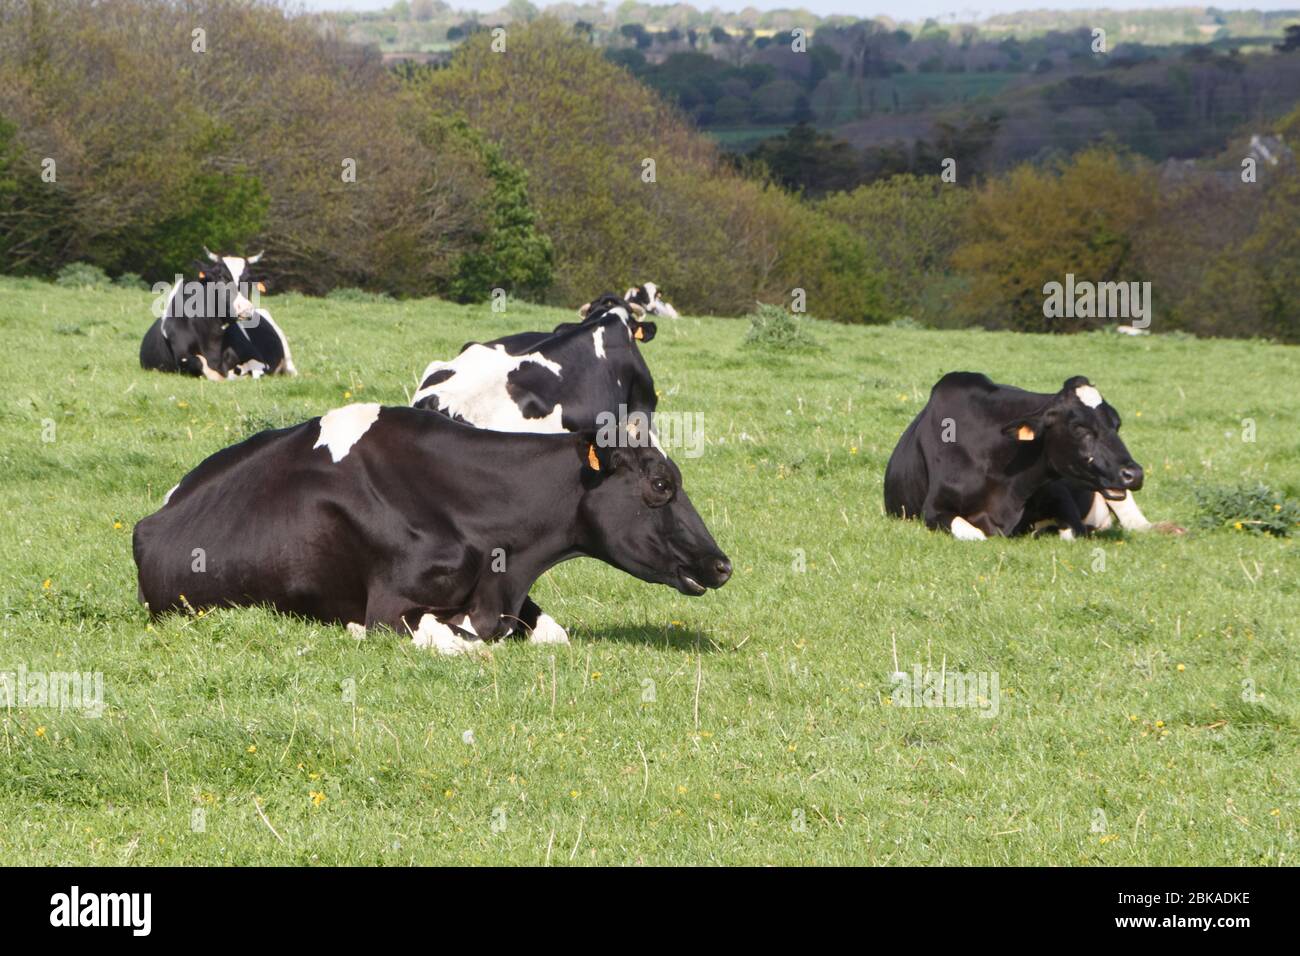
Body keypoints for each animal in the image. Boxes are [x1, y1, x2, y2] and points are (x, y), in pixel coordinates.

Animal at [139, 249, 295, 379]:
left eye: (250, 280)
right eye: (221, 276)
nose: (245, 309)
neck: (213, 338)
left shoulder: (259, 360)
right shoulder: (183, 357)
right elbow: (206, 368)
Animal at [884, 373, 1146, 540]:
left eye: (1116, 425)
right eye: (1079, 427)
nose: (1134, 474)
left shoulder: (1062, 498)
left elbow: (1073, 531)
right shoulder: (933, 509)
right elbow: (976, 534)